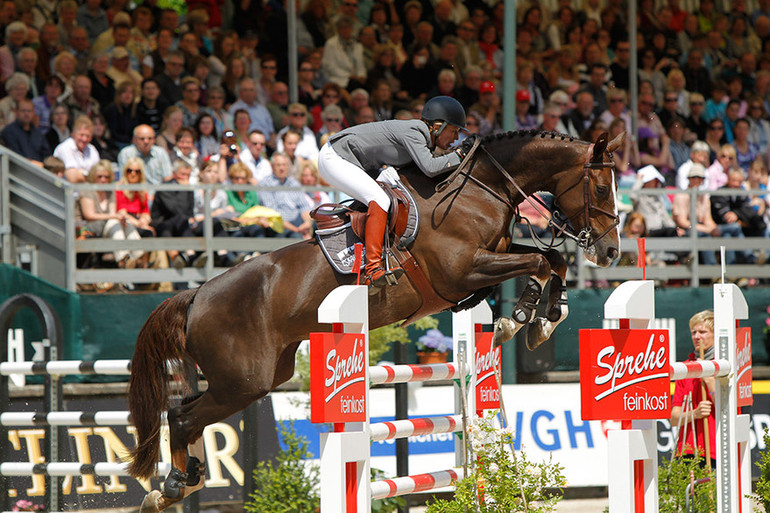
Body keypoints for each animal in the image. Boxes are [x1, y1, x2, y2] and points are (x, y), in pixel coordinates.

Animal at [124, 130, 616, 510]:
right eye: (601, 188)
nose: (610, 252)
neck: (478, 190)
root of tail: (196, 296)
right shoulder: (462, 271)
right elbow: (538, 261)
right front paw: (521, 318)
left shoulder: (491, 256)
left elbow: (551, 259)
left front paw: (546, 320)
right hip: (244, 381)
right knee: (182, 417)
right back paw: (170, 488)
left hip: (256, 376)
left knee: (185, 413)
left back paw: (177, 484)